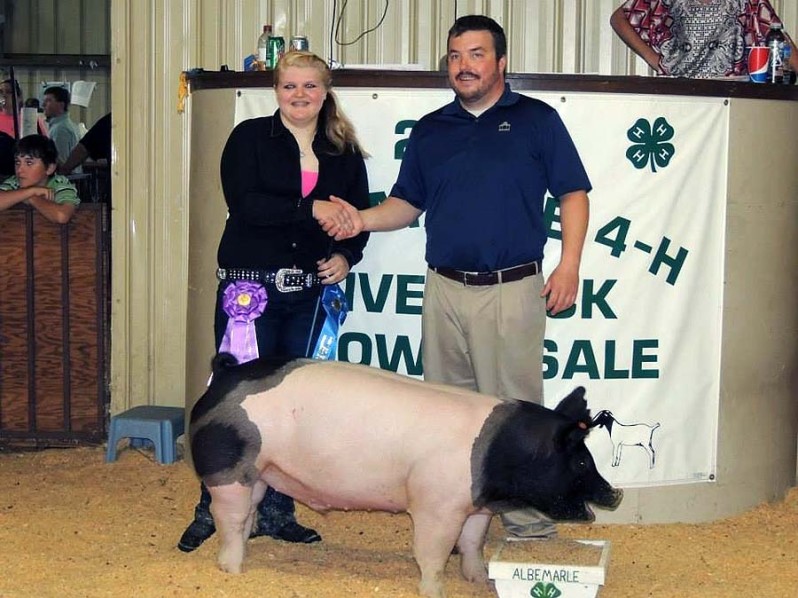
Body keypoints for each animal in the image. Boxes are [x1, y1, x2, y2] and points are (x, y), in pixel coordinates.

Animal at [189, 356, 624, 598]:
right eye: (581, 463)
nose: (616, 493)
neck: (501, 457)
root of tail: (222, 376)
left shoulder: (475, 506)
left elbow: (472, 544)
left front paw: (479, 582)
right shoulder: (437, 506)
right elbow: (432, 553)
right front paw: (436, 592)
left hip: (259, 473)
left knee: (248, 515)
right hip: (227, 470)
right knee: (229, 520)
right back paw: (232, 571)